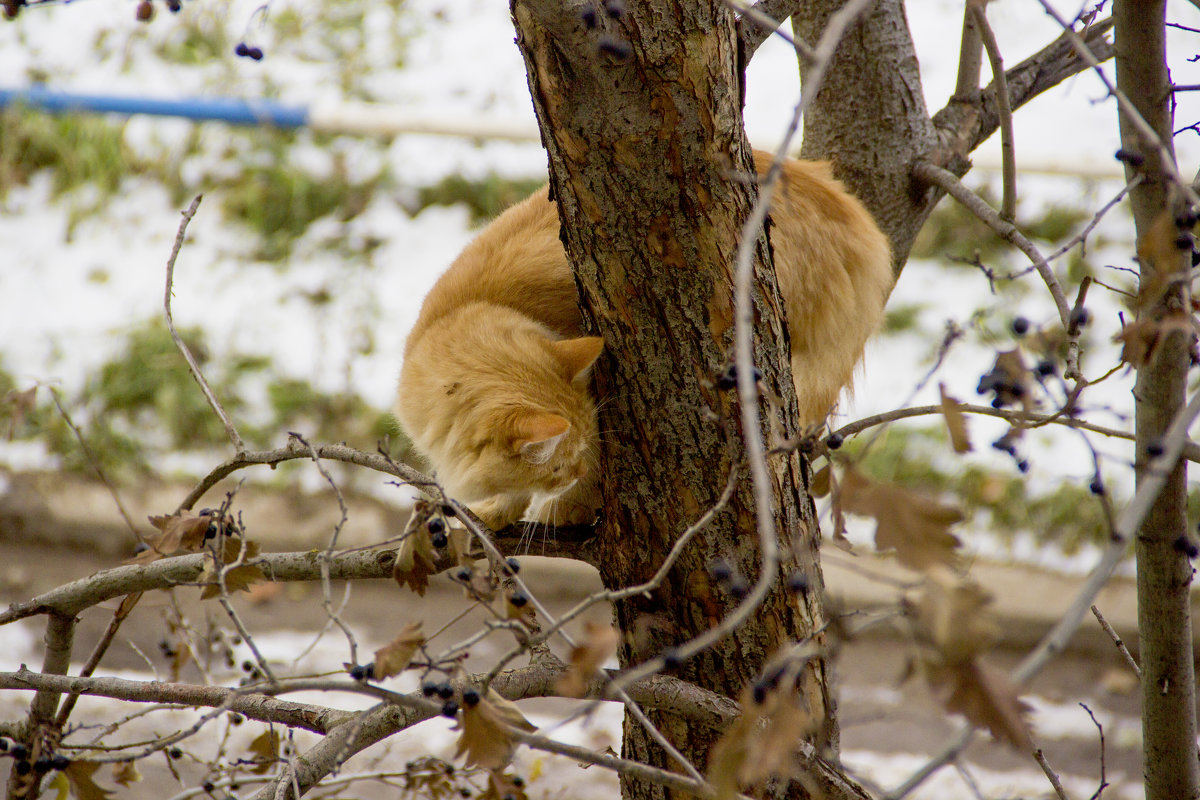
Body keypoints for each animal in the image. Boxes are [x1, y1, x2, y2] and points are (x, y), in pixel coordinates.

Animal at [398, 154, 897, 532]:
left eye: (574, 460)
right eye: (559, 465)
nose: (576, 474)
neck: (469, 309)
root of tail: (859, 221)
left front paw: (567, 507)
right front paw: (495, 513)